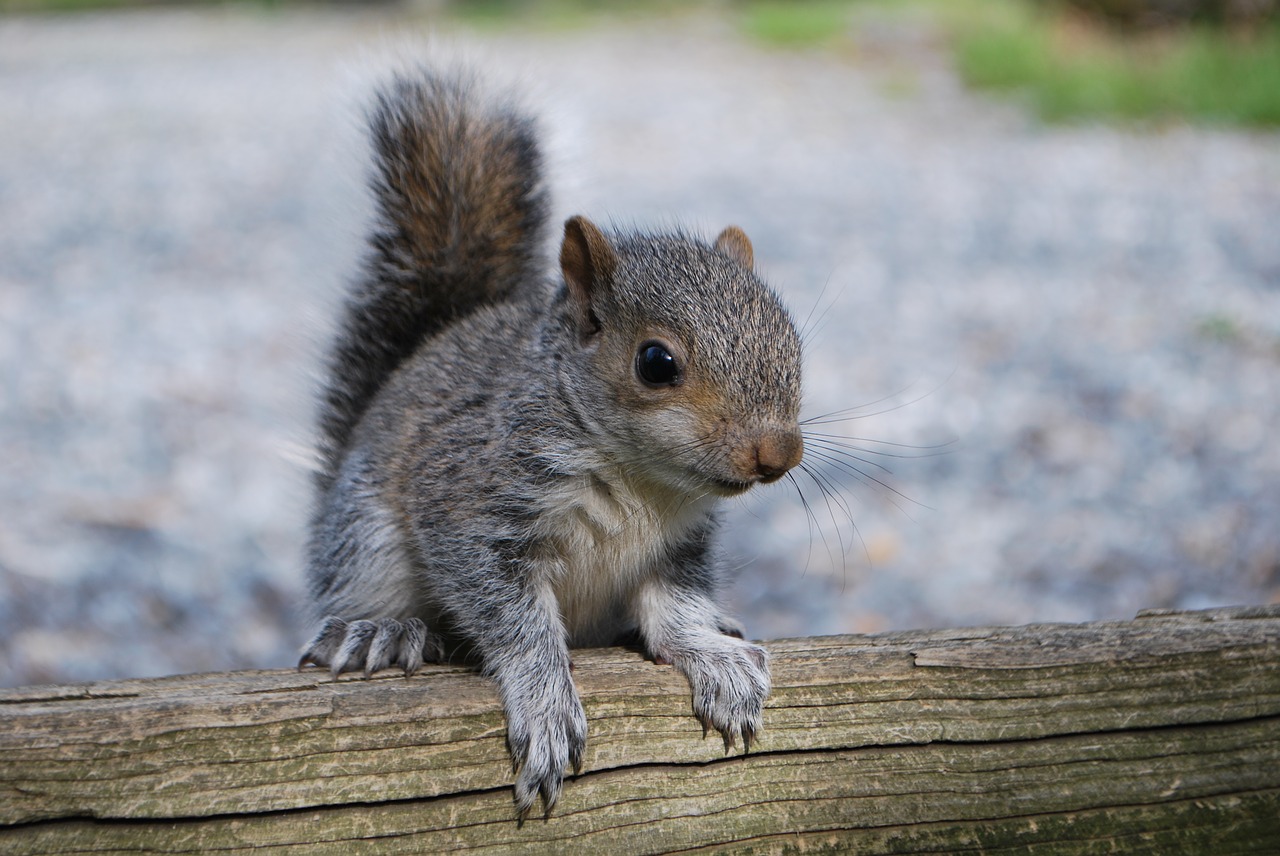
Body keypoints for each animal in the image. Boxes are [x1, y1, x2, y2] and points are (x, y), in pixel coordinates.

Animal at [299, 61, 798, 818]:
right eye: (656, 362)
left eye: (792, 340)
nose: (779, 453)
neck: (645, 480)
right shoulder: (475, 502)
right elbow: (512, 614)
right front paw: (544, 703)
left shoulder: (679, 547)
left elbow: (675, 606)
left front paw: (712, 655)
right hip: (366, 539)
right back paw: (379, 630)